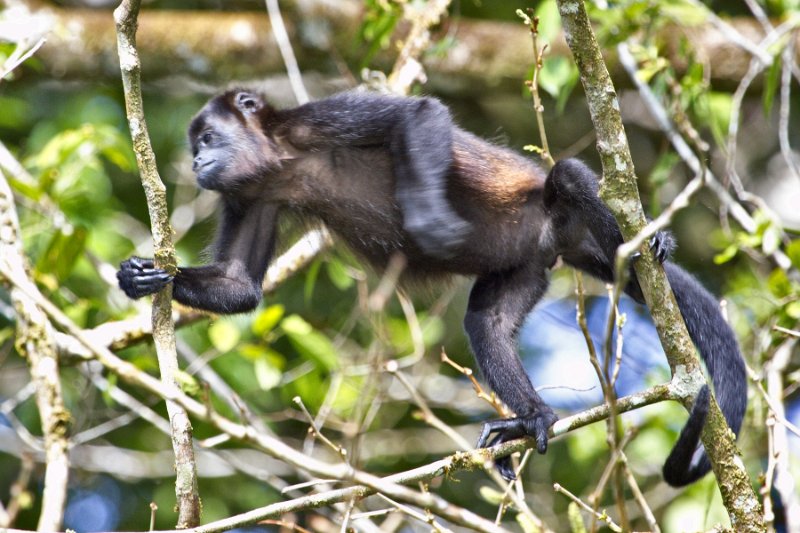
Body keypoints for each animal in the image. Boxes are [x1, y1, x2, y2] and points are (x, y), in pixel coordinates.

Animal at [115, 88, 748, 486]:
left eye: (207, 136)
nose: (195, 161)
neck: (278, 158)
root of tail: (561, 239)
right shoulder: (249, 194)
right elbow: (241, 285)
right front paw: (144, 276)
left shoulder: (315, 119)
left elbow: (419, 114)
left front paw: (428, 223)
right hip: (527, 265)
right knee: (486, 321)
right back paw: (531, 418)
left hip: (559, 213)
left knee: (568, 175)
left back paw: (651, 246)